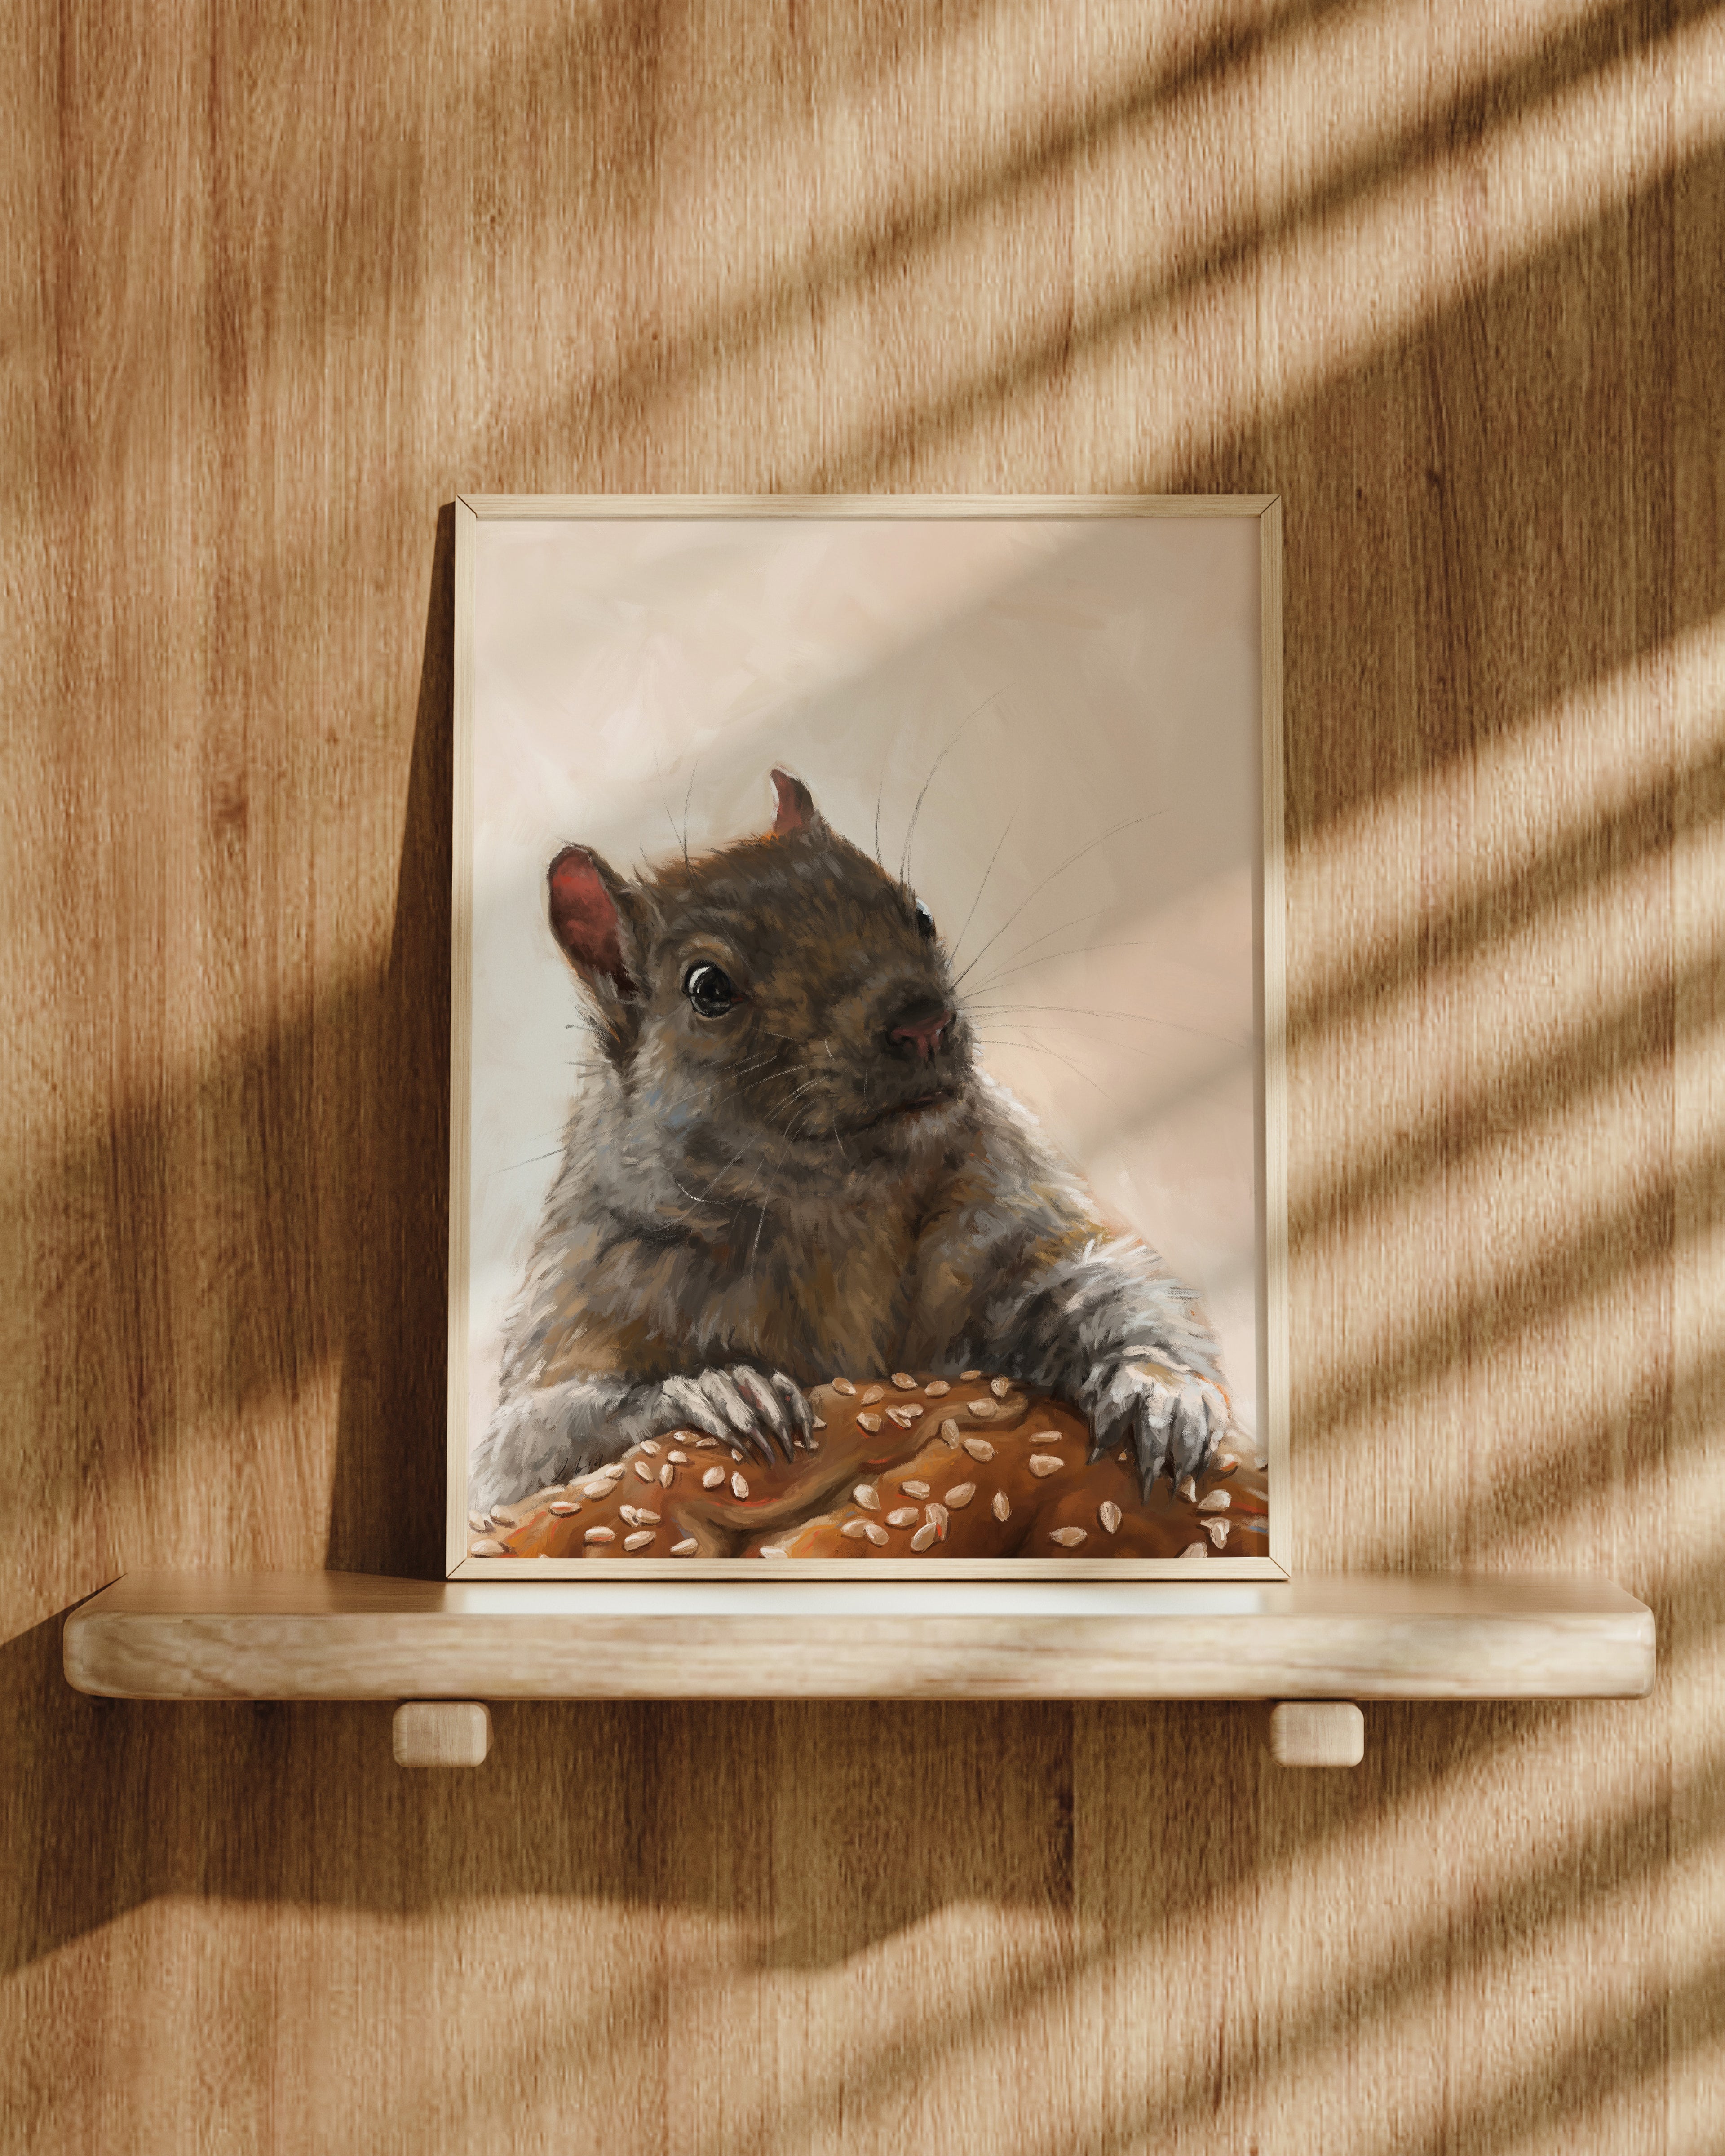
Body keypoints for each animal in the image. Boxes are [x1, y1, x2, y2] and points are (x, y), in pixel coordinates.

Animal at [467, 769, 1233, 1512]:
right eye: (707, 988)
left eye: (919, 913)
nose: (923, 1021)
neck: (840, 1207)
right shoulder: (591, 1293)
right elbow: (527, 1453)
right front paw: (718, 1390)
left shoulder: (1004, 1217)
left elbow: (1104, 1285)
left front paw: (1160, 1391)